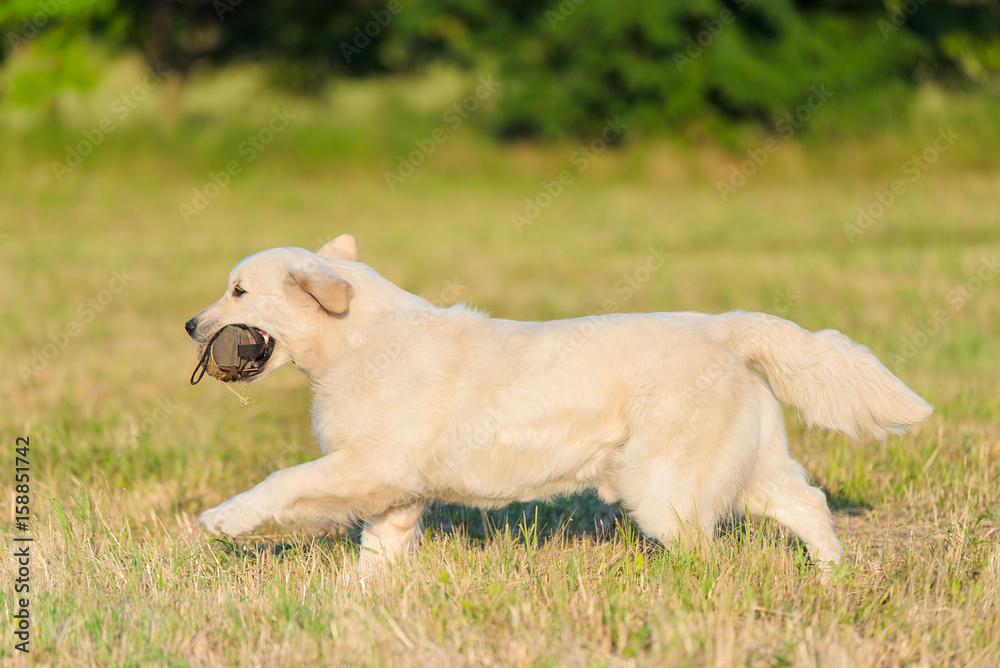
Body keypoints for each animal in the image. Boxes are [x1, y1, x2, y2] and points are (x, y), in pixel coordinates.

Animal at [186, 236, 928, 576]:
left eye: (239, 292)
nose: (192, 325)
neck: (359, 341)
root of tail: (723, 326)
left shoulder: (367, 465)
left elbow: (282, 482)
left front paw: (222, 519)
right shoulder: (396, 491)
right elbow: (378, 553)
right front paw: (363, 603)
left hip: (665, 488)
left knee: (708, 550)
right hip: (752, 467)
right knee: (809, 504)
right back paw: (830, 576)